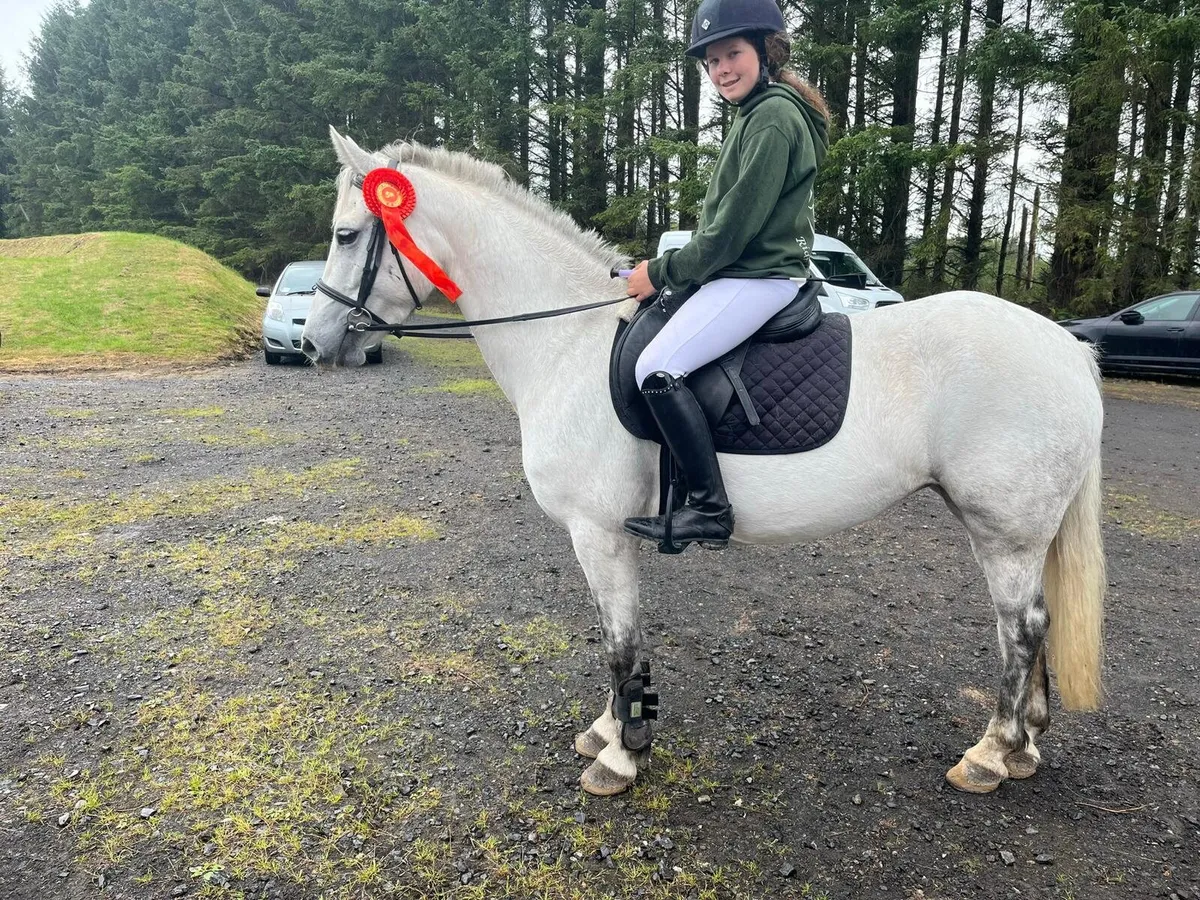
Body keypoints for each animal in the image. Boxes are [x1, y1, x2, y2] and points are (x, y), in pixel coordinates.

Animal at [301, 128, 1106, 798]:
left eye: (346, 234)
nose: (313, 343)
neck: (567, 343)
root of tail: (1068, 348)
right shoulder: (608, 536)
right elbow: (617, 636)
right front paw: (610, 729)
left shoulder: (597, 532)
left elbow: (621, 641)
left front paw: (623, 755)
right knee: (1033, 626)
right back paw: (1026, 745)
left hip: (1004, 530)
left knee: (1021, 628)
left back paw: (992, 754)